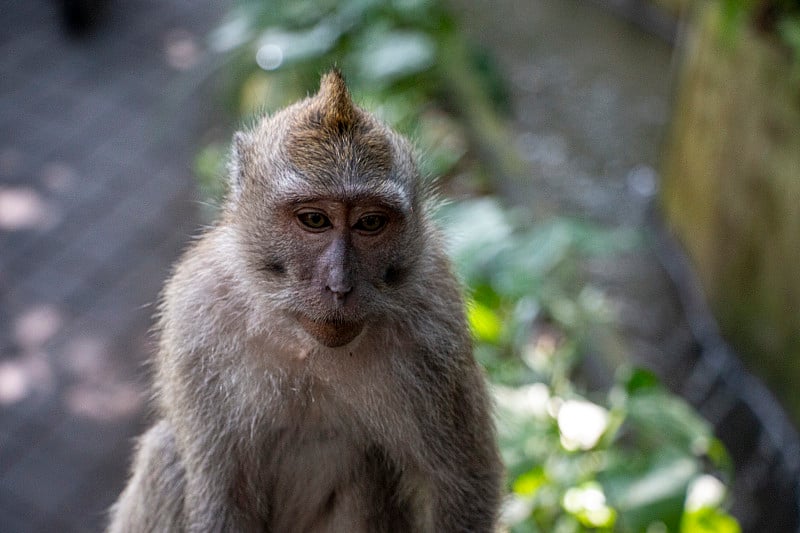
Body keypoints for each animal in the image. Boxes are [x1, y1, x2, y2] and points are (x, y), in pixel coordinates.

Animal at [109, 70, 504, 532]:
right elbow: (220, 494)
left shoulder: (435, 324)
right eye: (314, 220)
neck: (304, 344)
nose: (340, 286)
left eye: (370, 223)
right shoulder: (197, 316)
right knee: (166, 455)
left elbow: (459, 482)